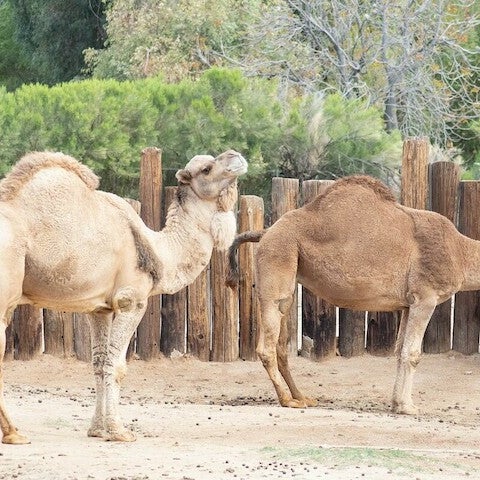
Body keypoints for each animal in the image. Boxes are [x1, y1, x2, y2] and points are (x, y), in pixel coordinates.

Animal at [0, 149, 248, 442]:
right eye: (207, 168)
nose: (236, 156)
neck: (158, 250)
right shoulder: (131, 301)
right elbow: (116, 365)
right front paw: (119, 431)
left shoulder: (100, 308)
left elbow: (98, 363)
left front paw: (97, 430)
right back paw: (14, 434)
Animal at [227, 176, 478, 416]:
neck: (460, 252)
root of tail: (265, 232)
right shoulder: (425, 297)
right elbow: (413, 353)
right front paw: (408, 407)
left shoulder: (409, 304)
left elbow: (399, 352)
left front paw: (397, 403)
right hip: (277, 257)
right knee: (267, 344)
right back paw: (288, 400)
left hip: (287, 276)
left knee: (281, 342)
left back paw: (302, 397)